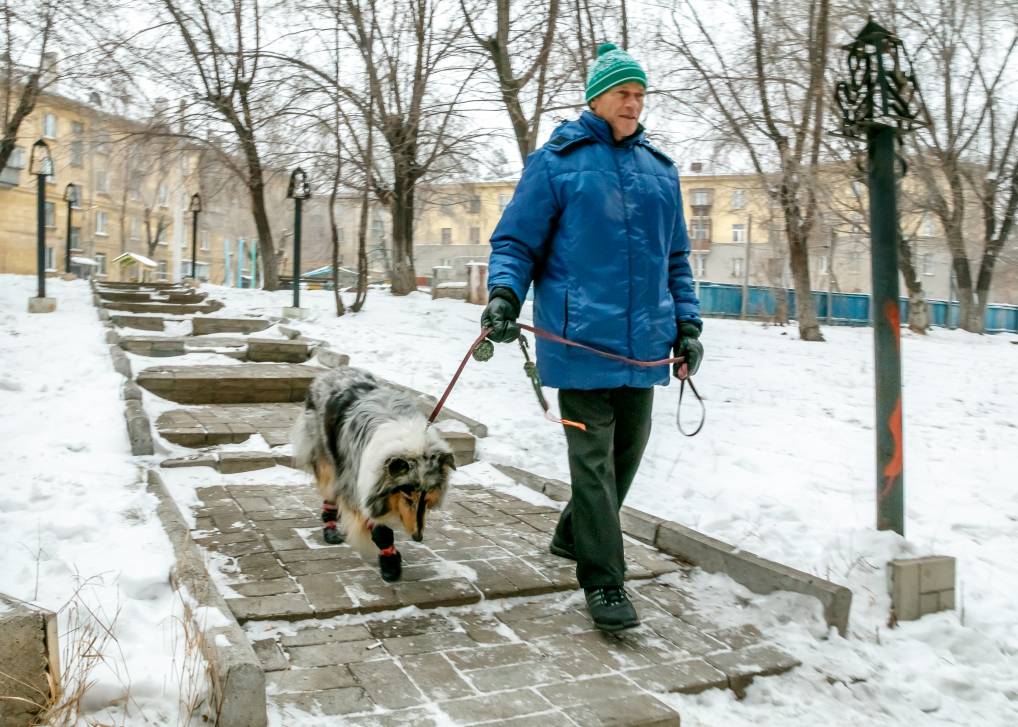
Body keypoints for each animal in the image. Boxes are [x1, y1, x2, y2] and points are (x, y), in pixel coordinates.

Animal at [293, 364, 456, 582]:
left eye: (427, 496)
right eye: (407, 495)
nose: (418, 537)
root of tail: (334, 370)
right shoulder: (358, 484)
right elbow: (379, 530)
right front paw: (390, 564)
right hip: (328, 459)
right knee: (330, 490)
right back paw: (330, 529)